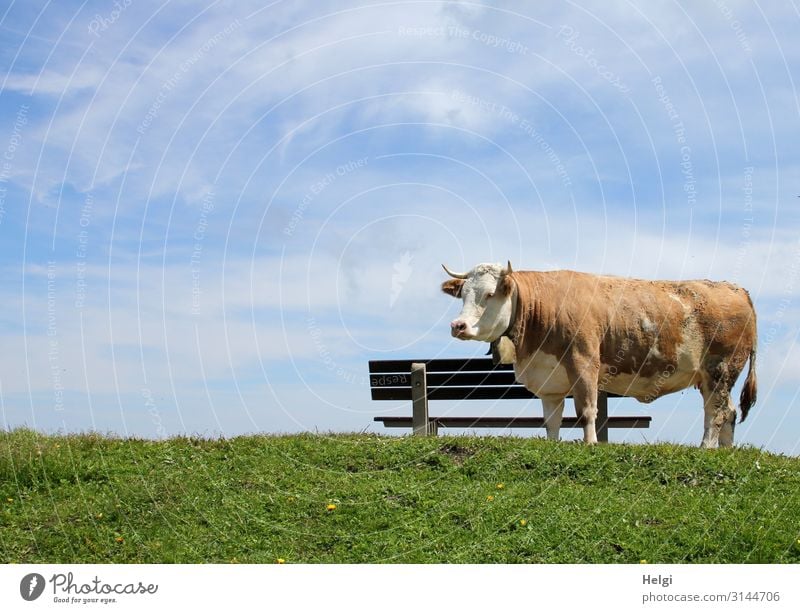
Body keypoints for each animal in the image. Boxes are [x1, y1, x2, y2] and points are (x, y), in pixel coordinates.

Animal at [440, 260, 760, 448]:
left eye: (489, 294)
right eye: (463, 293)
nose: (458, 325)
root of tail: (737, 289)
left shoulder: (584, 364)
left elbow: (586, 411)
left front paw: (591, 444)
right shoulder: (549, 380)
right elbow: (551, 420)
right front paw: (553, 445)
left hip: (720, 370)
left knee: (716, 413)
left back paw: (706, 448)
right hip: (712, 378)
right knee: (729, 412)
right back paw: (725, 452)